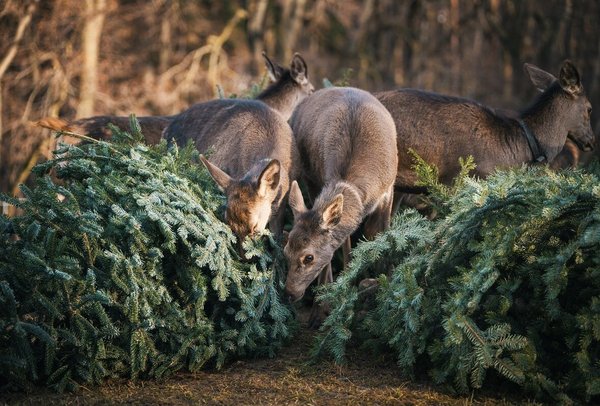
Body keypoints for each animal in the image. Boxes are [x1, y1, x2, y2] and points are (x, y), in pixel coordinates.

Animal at [284, 86, 398, 326]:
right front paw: (324, 308)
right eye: (286, 251)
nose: (289, 293)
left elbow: (380, 235)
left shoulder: (389, 189)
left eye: (308, 257)